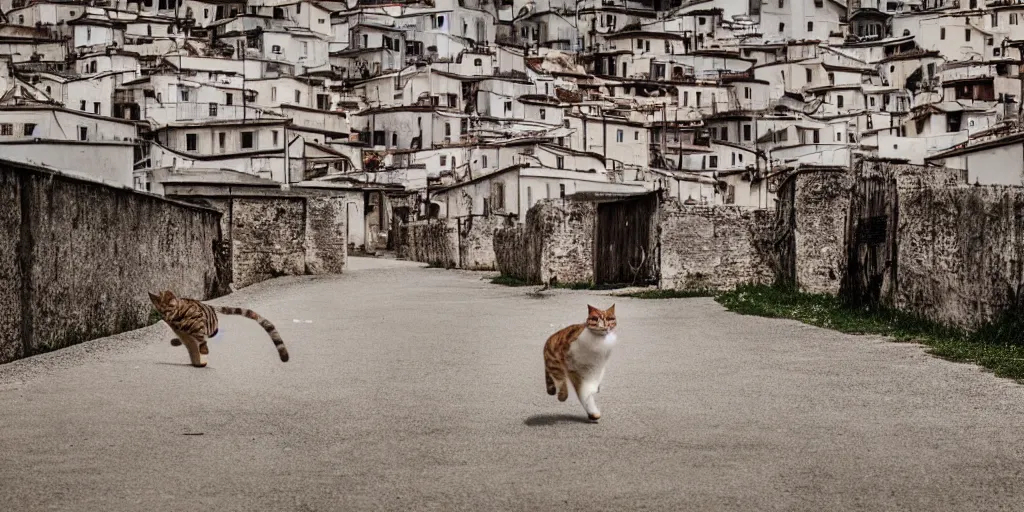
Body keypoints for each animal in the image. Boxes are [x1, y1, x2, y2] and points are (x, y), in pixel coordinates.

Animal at [146, 290, 288, 366]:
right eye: (161, 311)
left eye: (168, 309)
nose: (165, 317)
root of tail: (209, 306)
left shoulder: (198, 321)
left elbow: (200, 337)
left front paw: (203, 349)